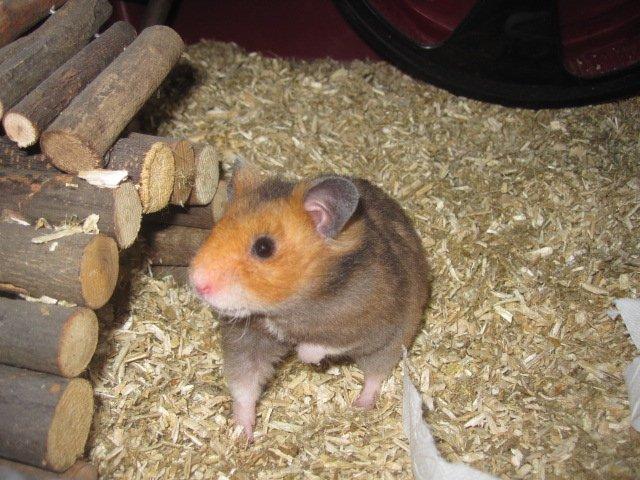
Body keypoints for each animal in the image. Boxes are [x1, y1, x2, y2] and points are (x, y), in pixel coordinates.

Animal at [190, 160, 431, 441]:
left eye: (264, 247)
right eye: (215, 229)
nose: (197, 283)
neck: (288, 306)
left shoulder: (367, 320)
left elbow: (325, 342)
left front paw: (303, 356)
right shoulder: (247, 340)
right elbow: (244, 386)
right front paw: (243, 435)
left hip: (394, 342)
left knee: (375, 374)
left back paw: (359, 406)